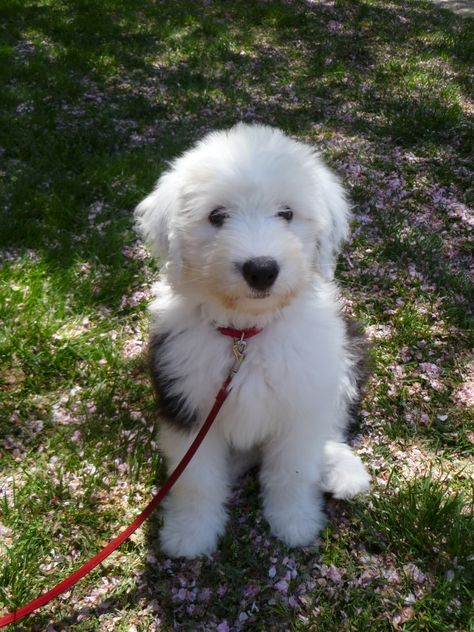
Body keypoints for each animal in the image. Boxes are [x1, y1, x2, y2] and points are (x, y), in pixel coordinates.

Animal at [133, 123, 370, 556]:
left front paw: (295, 523)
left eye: (287, 213)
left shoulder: (299, 404)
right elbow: (195, 479)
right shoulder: (187, 406)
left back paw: (342, 470)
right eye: (217, 216)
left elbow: (293, 471)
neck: (244, 335)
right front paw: (190, 533)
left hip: (346, 353)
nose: (261, 269)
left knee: (330, 426)